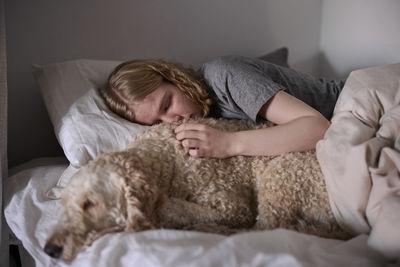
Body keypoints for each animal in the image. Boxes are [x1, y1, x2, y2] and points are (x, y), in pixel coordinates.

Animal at [44, 119, 350, 262]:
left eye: (91, 203)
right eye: (66, 207)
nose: (49, 250)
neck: (160, 158)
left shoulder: (232, 206)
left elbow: (172, 207)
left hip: (280, 174)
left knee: (265, 227)